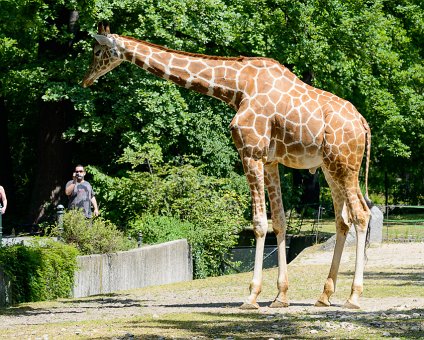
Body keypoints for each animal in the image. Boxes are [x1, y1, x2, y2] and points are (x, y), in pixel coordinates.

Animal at [82, 23, 372, 310]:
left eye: (96, 51)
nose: (85, 79)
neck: (237, 86)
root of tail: (363, 123)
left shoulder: (250, 152)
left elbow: (259, 223)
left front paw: (252, 296)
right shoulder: (270, 160)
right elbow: (279, 222)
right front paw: (280, 297)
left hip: (345, 164)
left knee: (360, 215)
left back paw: (354, 297)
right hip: (331, 167)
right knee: (343, 219)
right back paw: (324, 296)